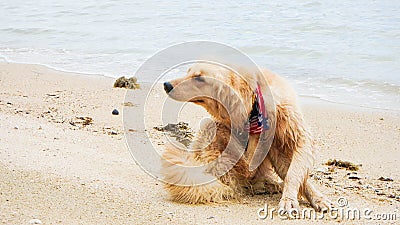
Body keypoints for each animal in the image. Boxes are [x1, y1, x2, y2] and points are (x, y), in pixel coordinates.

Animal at [159, 62, 332, 213]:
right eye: (188, 72)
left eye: (199, 78)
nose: (166, 84)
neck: (255, 105)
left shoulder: (297, 138)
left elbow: (294, 173)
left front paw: (306, 198)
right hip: (209, 129)